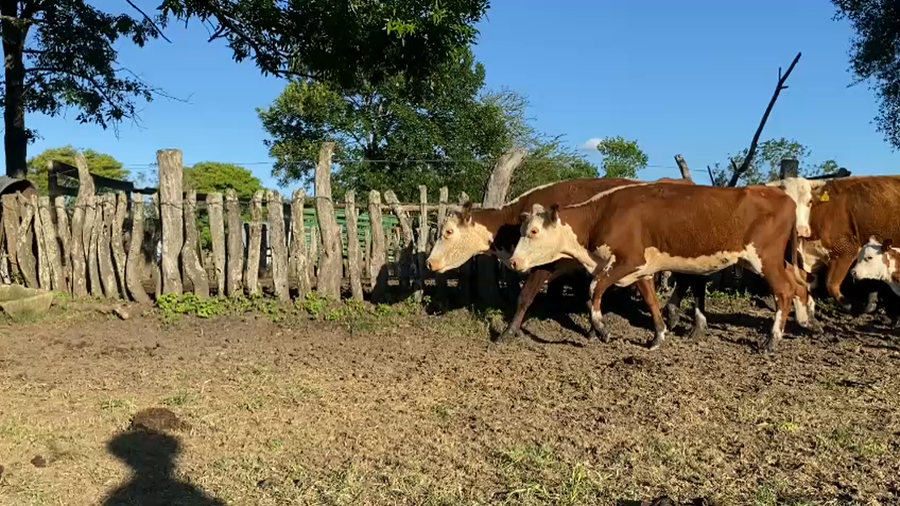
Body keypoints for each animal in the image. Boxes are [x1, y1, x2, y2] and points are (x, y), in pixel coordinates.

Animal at [425, 177, 710, 341]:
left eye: (448, 232)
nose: (429, 262)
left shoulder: (546, 264)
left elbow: (525, 296)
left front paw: (508, 333)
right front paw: (594, 330)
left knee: (695, 282)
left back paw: (693, 326)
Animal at [507, 182, 815, 353]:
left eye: (533, 231)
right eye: (521, 230)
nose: (513, 261)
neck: (602, 216)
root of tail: (784, 197)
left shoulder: (627, 261)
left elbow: (595, 288)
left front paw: (602, 329)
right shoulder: (641, 268)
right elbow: (651, 300)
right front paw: (658, 336)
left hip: (765, 260)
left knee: (785, 291)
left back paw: (772, 340)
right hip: (778, 261)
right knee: (798, 285)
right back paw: (803, 321)